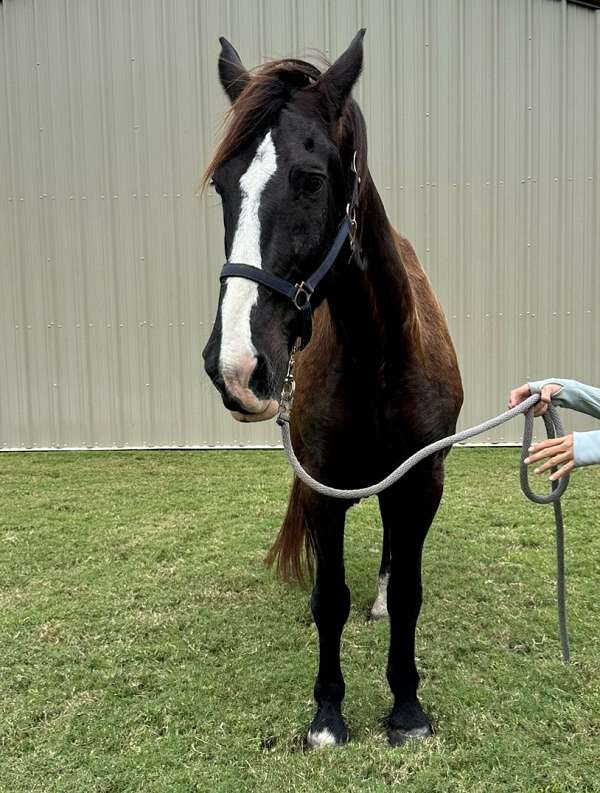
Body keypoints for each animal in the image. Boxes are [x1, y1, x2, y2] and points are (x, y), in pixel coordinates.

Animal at [203, 31, 464, 744]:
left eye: (312, 180)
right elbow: (329, 599)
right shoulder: (322, 486)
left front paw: (407, 708)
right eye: (222, 186)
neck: (377, 359)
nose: (236, 366)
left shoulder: (420, 479)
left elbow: (409, 592)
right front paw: (327, 712)